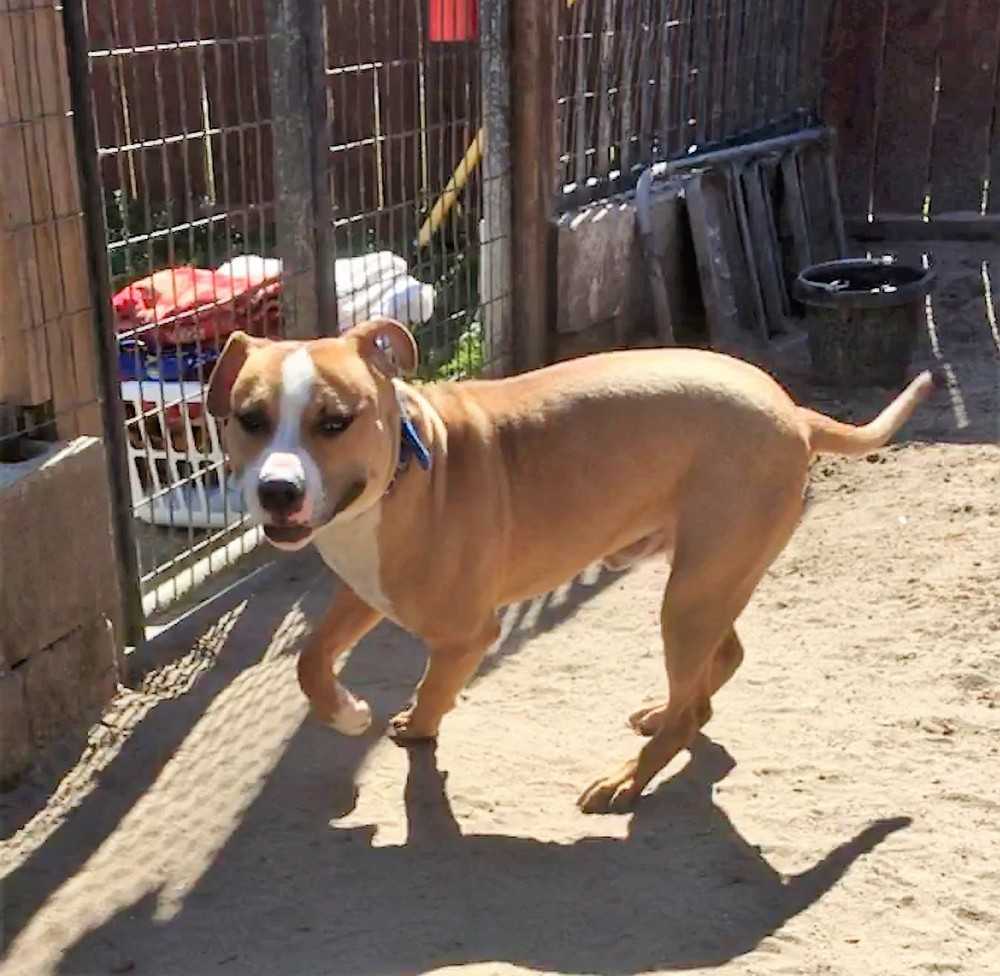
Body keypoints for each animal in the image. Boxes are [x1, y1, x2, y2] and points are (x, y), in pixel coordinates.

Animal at [205, 320, 936, 816]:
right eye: (250, 418)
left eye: (334, 421)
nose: (278, 490)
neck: (409, 469)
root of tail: (796, 412)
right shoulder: (365, 591)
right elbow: (309, 661)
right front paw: (348, 714)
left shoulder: (468, 635)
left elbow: (435, 688)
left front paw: (413, 729)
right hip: (709, 581)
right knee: (715, 671)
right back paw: (664, 710)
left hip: (692, 595)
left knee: (691, 711)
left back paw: (627, 778)